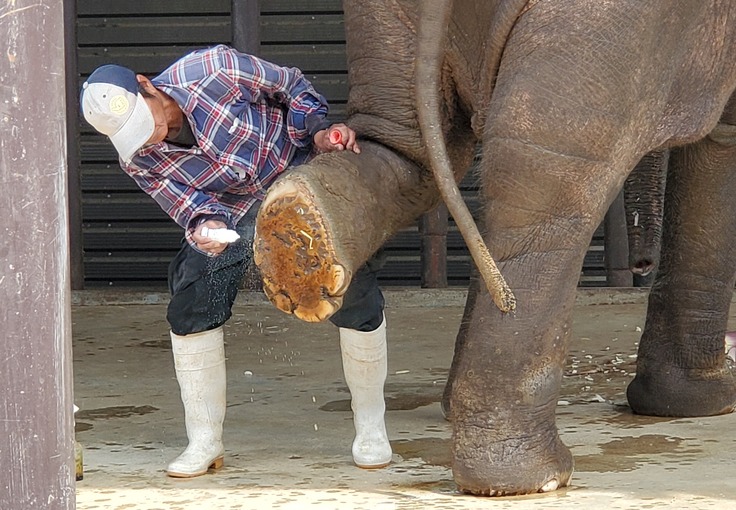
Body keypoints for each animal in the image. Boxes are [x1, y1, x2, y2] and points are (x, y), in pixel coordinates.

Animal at [252, 0, 736, 498]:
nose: (640, 264)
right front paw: (707, 403)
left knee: (406, 144)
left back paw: (296, 230)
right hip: (610, 26)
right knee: (551, 181)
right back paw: (532, 478)